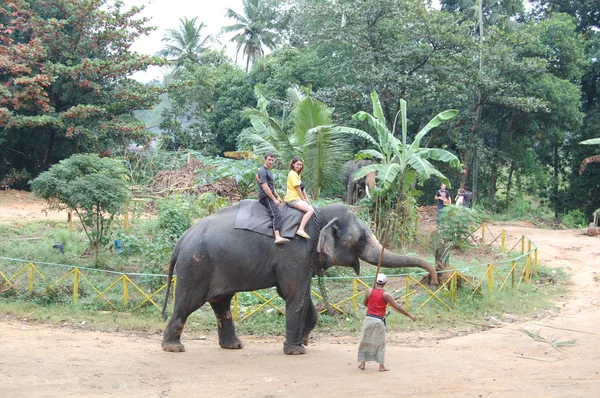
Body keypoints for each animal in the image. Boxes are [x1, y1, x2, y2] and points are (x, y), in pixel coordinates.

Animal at [162, 202, 438, 354]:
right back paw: (174, 348)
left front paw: (304, 342)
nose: (434, 279)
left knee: (221, 303)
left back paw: (234, 346)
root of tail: (181, 241)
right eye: (360, 239)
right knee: (188, 303)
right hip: (196, 266)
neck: (317, 214)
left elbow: (300, 296)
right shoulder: (294, 253)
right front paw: (296, 351)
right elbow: (294, 293)